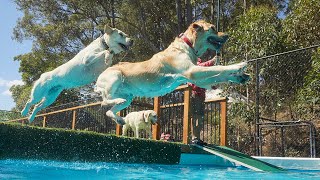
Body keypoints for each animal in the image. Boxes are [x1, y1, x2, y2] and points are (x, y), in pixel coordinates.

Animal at [95, 19, 250, 124]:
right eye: (212, 28)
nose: (227, 35)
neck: (188, 44)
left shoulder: (196, 78)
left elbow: (219, 75)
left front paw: (240, 76)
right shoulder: (192, 71)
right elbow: (219, 68)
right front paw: (239, 66)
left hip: (128, 96)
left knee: (108, 109)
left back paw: (119, 119)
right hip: (115, 76)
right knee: (105, 101)